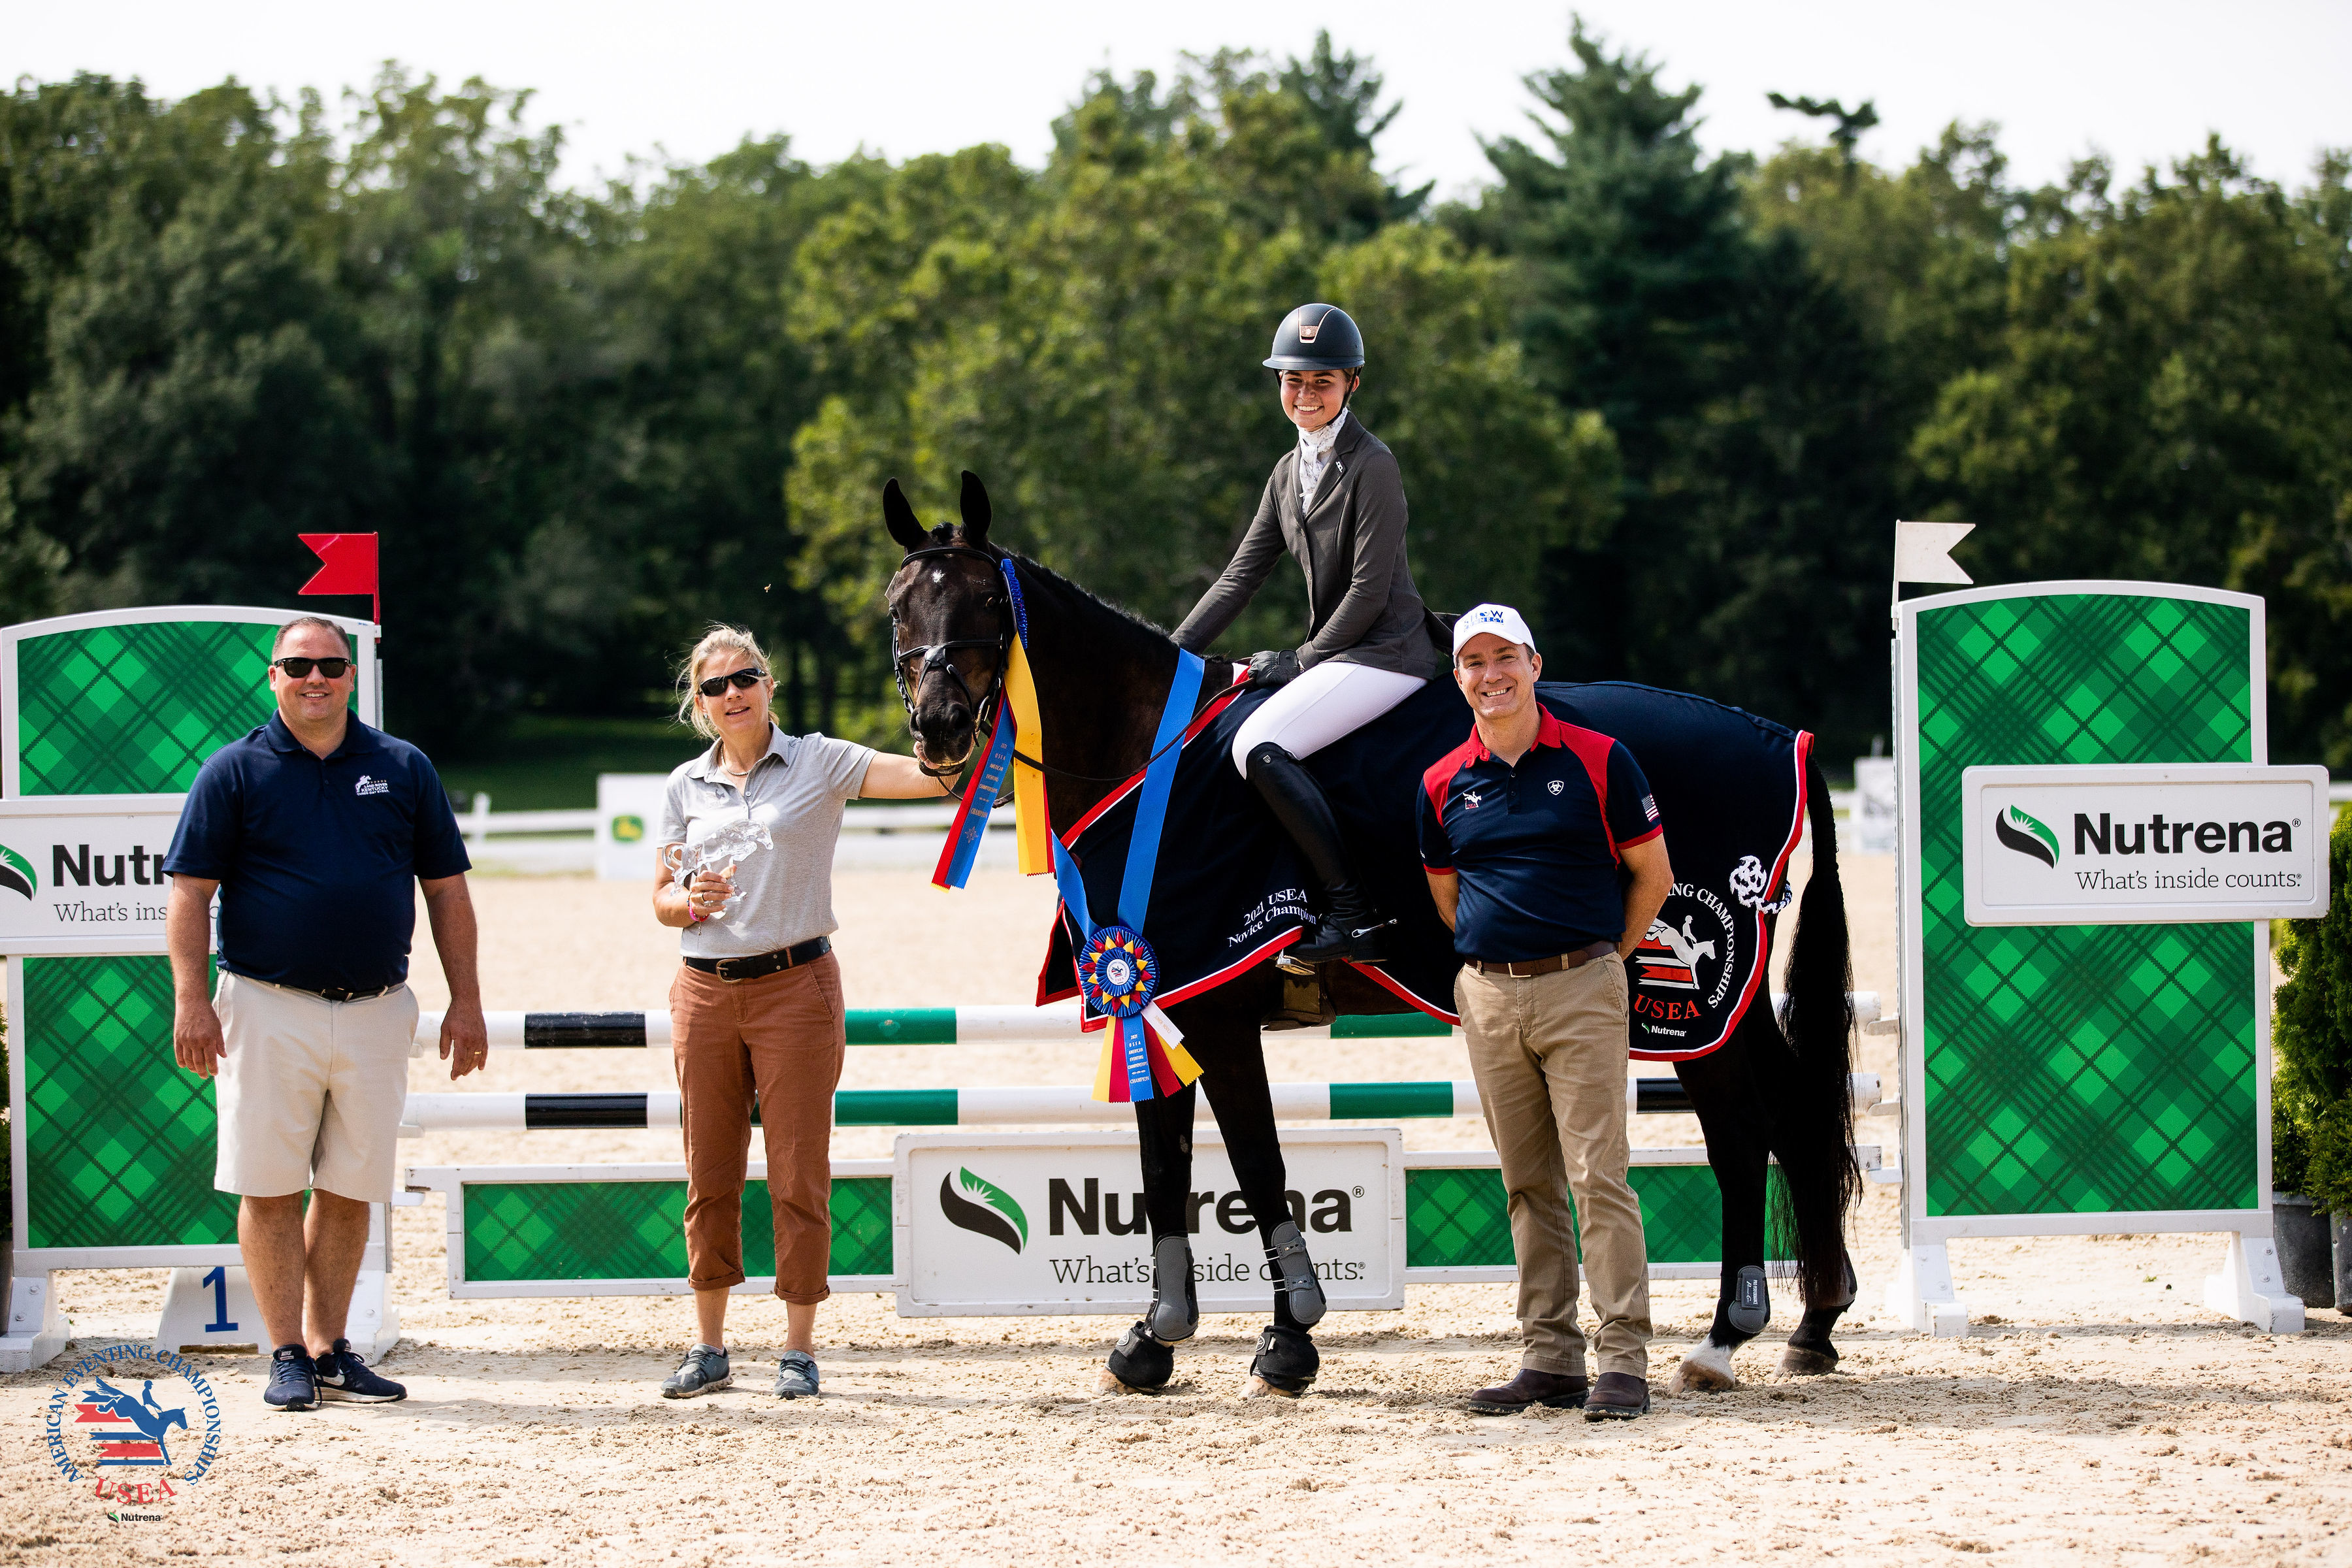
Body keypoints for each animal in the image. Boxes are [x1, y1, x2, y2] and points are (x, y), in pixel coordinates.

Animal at [883, 471, 1861, 1398]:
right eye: (898, 603)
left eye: (986, 601)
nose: (937, 727)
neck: (1147, 762)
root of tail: (1784, 737)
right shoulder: (1156, 1001)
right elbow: (1165, 1166)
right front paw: (1153, 1339)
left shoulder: (1216, 1010)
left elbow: (1256, 1162)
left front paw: (1287, 1341)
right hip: (1731, 1005)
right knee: (1794, 1108)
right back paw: (1813, 1326)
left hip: (1687, 1009)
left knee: (1741, 1126)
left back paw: (1725, 1338)